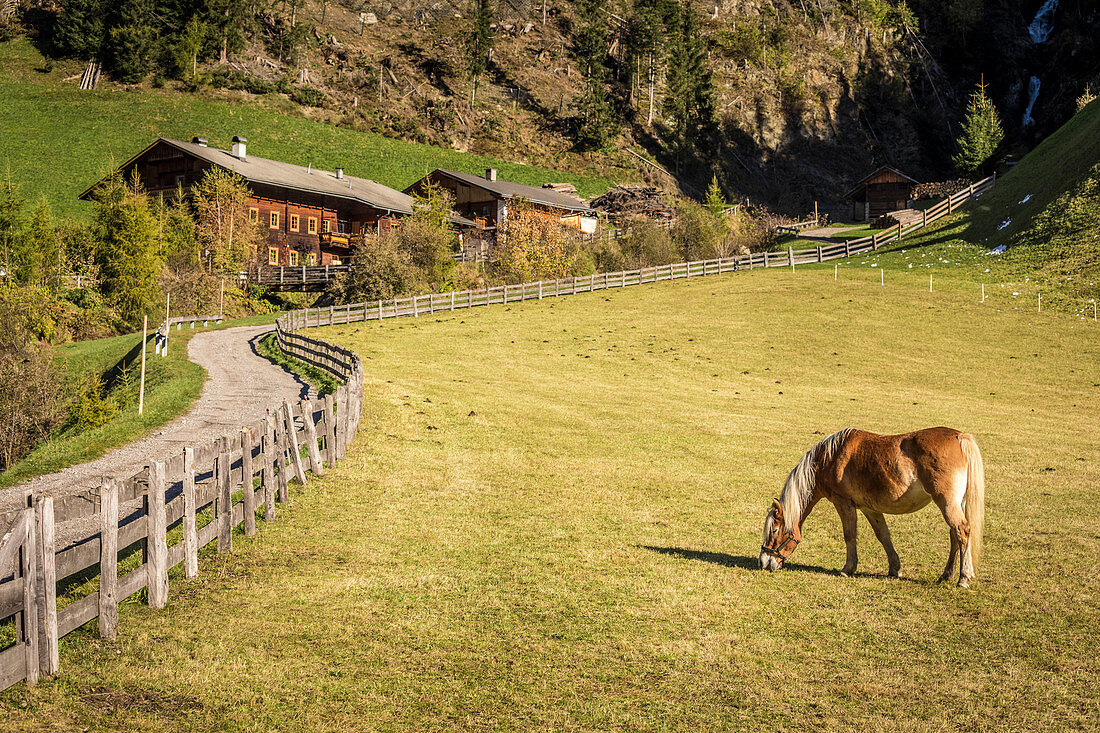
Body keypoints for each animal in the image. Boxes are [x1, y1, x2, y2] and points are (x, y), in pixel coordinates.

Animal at [761, 424, 985, 585]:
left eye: (774, 530)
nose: (763, 562)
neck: (829, 459)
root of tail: (959, 436)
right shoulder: (870, 508)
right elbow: (883, 536)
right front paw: (895, 569)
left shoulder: (844, 503)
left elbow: (849, 535)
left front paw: (848, 569)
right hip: (956, 503)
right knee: (955, 535)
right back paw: (946, 575)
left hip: (946, 503)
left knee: (962, 531)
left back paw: (963, 577)